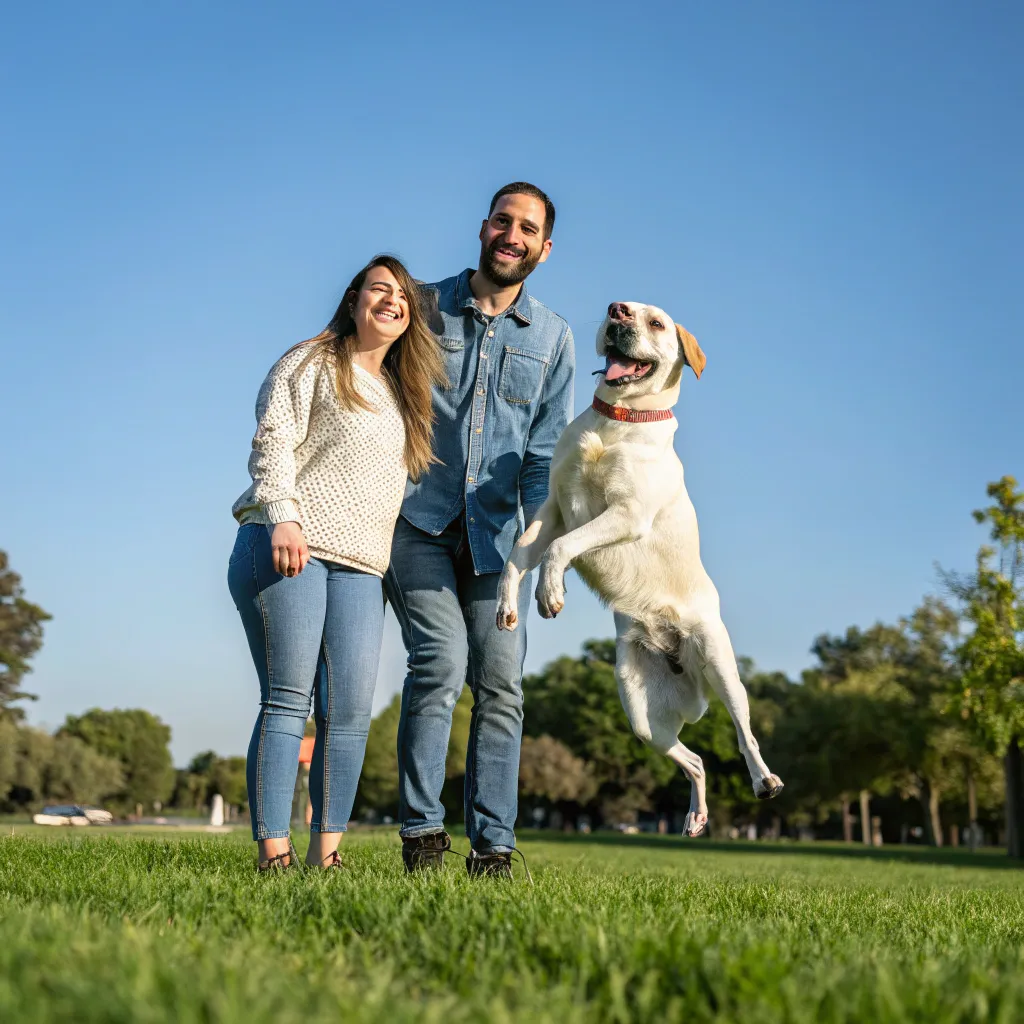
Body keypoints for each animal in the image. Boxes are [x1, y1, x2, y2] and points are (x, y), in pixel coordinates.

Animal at [495, 299, 782, 835]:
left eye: (656, 322)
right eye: (619, 307)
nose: (618, 311)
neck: (618, 420)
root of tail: (679, 661)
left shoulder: (625, 513)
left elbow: (560, 548)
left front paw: (549, 592)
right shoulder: (553, 509)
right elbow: (519, 555)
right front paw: (508, 604)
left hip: (721, 666)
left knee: (744, 734)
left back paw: (764, 780)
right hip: (643, 719)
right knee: (696, 761)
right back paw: (695, 816)